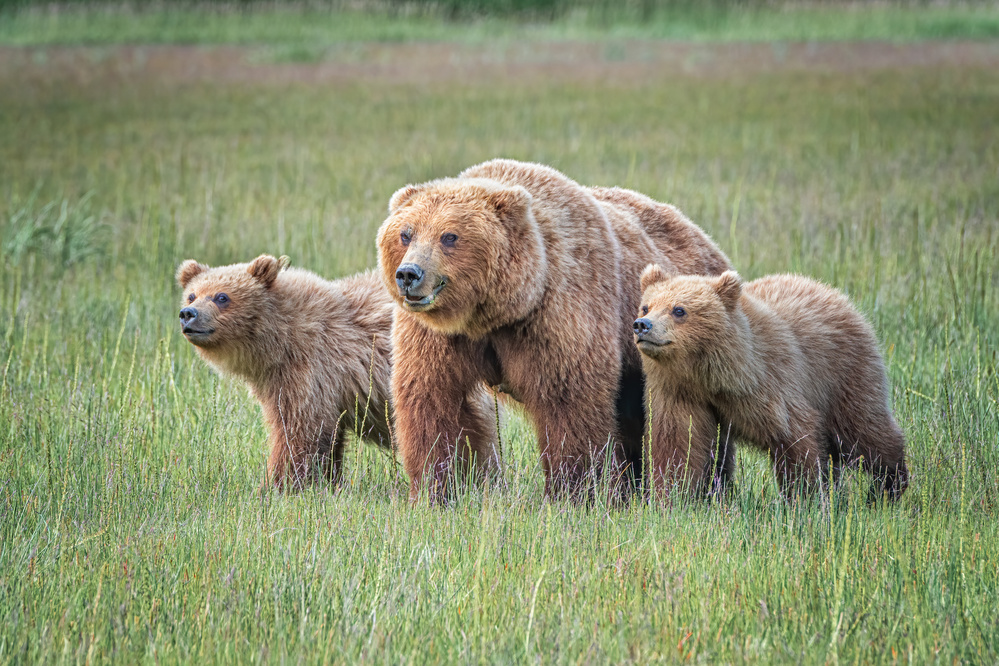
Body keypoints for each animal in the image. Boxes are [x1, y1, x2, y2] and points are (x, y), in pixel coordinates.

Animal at [176, 254, 398, 488]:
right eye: (191, 295)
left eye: (221, 297)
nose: (188, 314)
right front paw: (329, 482)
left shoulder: (311, 370)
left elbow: (297, 433)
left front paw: (274, 485)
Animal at [378, 158, 732, 498]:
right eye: (406, 233)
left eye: (449, 236)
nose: (409, 273)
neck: (494, 313)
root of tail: (704, 237)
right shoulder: (440, 335)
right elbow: (431, 400)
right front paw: (435, 488)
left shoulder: (558, 314)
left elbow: (568, 405)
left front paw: (570, 492)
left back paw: (711, 489)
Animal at [636, 262, 912, 500]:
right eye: (646, 306)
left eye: (678, 310)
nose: (642, 325)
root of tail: (835, 293)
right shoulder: (679, 392)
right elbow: (677, 445)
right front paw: (669, 497)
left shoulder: (772, 380)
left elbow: (795, 438)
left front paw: (804, 498)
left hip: (844, 373)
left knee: (863, 431)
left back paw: (888, 486)